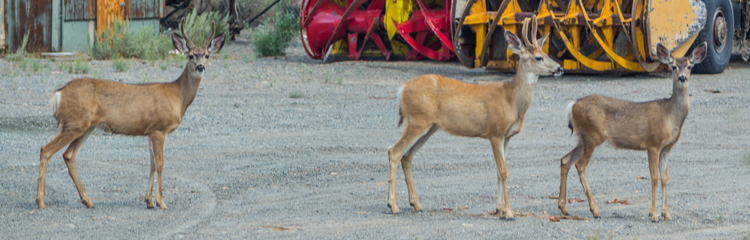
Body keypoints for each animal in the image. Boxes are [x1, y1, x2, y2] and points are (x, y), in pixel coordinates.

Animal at [37, 18, 226, 209]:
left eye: (207, 55)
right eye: (191, 55)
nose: (200, 67)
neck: (177, 96)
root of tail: (59, 94)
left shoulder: (150, 131)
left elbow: (151, 164)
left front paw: (149, 201)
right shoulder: (159, 129)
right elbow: (160, 164)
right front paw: (161, 202)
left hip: (85, 127)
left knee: (69, 156)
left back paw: (87, 200)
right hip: (74, 123)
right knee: (46, 149)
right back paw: (41, 201)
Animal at [388, 15, 564, 219]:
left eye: (546, 53)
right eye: (538, 57)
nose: (560, 68)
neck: (511, 101)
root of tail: (402, 89)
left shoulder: (506, 136)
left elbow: (498, 171)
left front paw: (499, 209)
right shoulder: (495, 132)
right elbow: (503, 171)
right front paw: (509, 213)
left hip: (429, 127)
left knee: (406, 157)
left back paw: (416, 204)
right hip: (418, 120)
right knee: (394, 152)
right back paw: (393, 205)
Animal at [560, 41, 712, 221]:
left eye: (689, 66)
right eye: (673, 66)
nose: (682, 77)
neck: (670, 116)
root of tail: (572, 105)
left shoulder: (666, 148)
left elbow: (665, 178)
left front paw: (666, 213)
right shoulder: (652, 144)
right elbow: (654, 177)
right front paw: (653, 214)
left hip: (583, 137)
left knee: (565, 160)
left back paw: (563, 208)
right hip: (593, 135)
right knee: (580, 165)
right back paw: (595, 210)